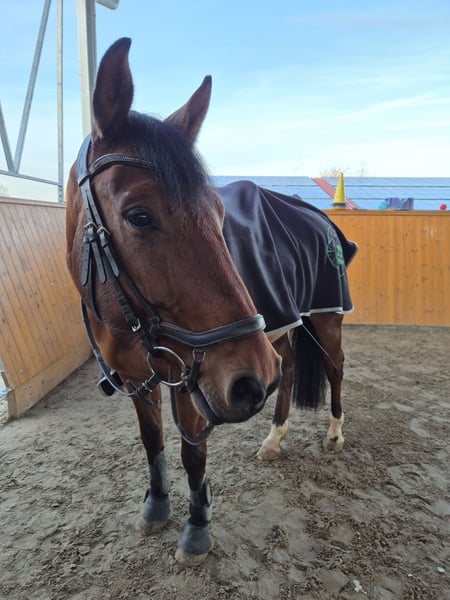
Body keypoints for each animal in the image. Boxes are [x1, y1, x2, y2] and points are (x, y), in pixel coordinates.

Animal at [65, 38, 356, 567]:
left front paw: (196, 528)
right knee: (286, 372)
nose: (248, 382)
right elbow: (153, 443)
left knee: (335, 367)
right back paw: (274, 438)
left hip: (323, 320)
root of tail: (319, 217)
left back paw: (334, 434)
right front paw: (156, 506)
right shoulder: (138, 380)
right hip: (279, 332)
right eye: (138, 215)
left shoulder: (191, 380)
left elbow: (191, 454)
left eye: (219, 214)